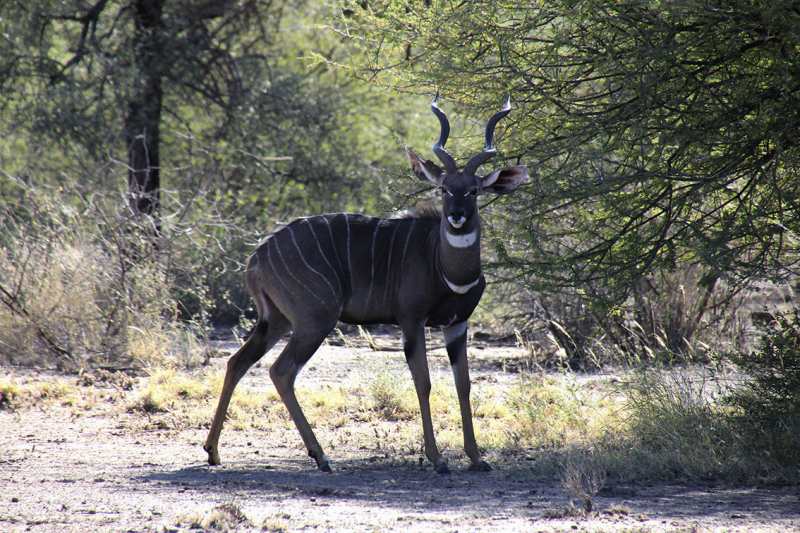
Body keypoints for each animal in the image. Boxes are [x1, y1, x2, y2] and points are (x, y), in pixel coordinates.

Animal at [205, 95, 524, 474]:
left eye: (474, 190)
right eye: (444, 188)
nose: (456, 216)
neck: (447, 268)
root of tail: (257, 257)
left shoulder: (457, 324)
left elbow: (463, 384)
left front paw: (477, 458)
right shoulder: (411, 321)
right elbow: (424, 382)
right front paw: (438, 459)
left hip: (276, 321)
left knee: (237, 362)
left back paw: (213, 451)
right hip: (314, 321)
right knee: (281, 371)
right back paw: (321, 456)